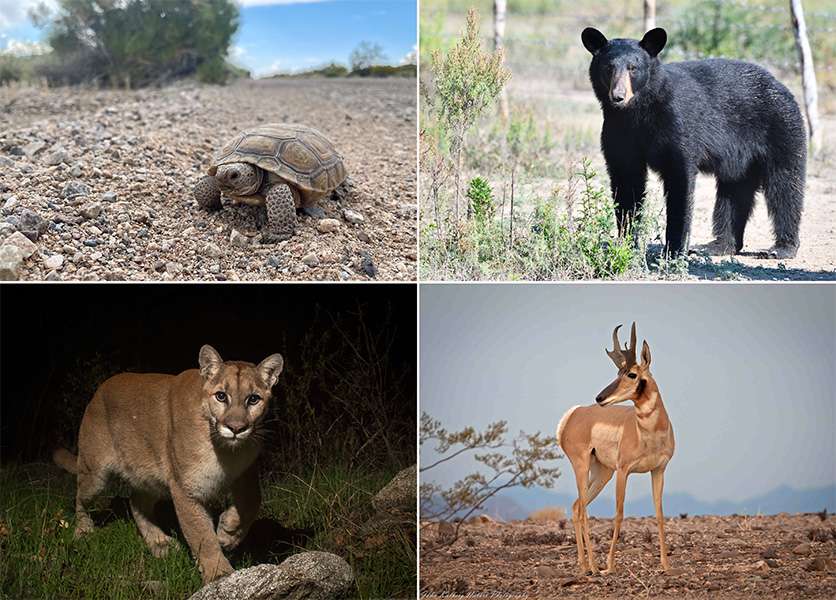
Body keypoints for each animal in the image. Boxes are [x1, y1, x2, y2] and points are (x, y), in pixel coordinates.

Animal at [581, 27, 806, 258]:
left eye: (633, 68)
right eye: (609, 68)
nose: (618, 97)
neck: (637, 113)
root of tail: (781, 85)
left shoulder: (677, 124)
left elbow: (680, 181)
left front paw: (674, 250)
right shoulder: (618, 132)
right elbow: (626, 184)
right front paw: (626, 245)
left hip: (781, 128)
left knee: (785, 185)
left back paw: (781, 248)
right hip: (741, 160)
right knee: (734, 192)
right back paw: (719, 245)